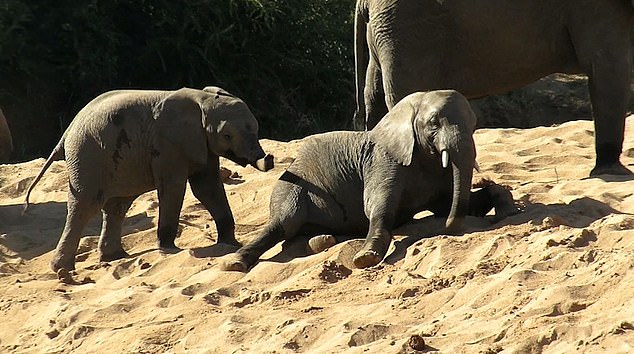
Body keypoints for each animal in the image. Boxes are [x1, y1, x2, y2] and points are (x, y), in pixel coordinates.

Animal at [24, 85, 272, 274]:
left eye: (256, 128)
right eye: (227, 135)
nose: (269, 158)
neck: (203, 99)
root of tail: (67, 131)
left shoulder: (202, 144)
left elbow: (207, 188)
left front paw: (230, 244)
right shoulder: (169, 144)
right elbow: (175, 188)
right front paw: (169, 250)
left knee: (117, 206)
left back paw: (115, 257)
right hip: (87, 158)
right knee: (85, 206)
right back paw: (62, 269)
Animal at [225, 90, 516, 272]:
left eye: (474, 123)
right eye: (434, 123)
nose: (448, 228)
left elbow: (449, 204)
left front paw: (507, 208)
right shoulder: (382, 161)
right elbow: (378, 206)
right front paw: (365, 258)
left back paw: (323, 241)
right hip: (290, 189)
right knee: (282, 224)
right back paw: (235, 262)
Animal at [354, 0, 632, 177]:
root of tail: (364, 3)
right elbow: (606, 66)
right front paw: (613, 172)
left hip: (387, 36)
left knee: (373, 100)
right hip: (410, 34)